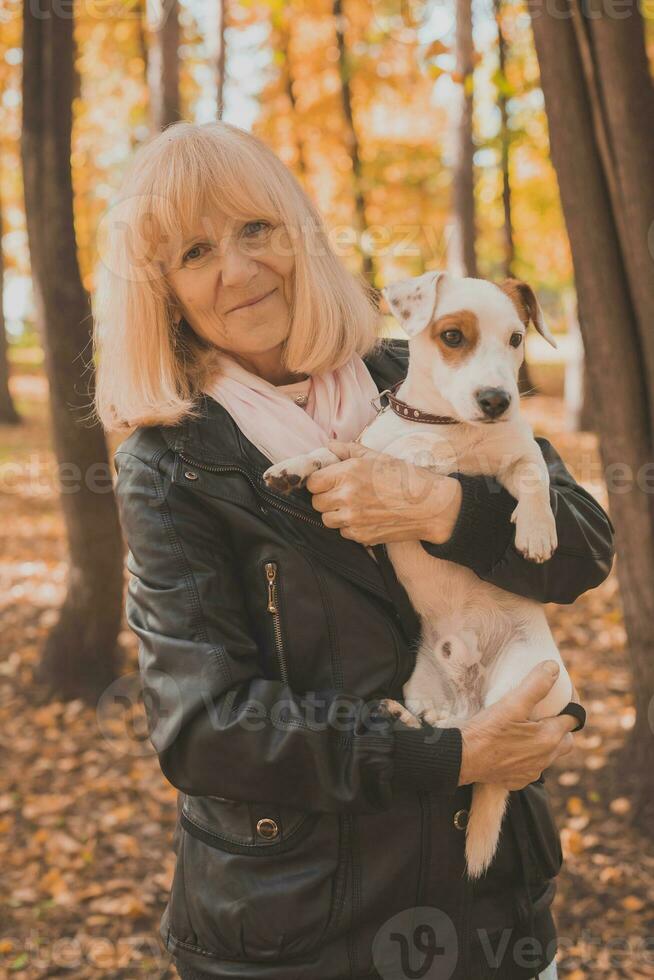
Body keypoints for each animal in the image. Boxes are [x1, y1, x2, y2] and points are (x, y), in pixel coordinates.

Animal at [264, 272, 576, 876]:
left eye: (517, 339)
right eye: (453, 335)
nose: (498, 400)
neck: (446, 427)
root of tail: (470, 688)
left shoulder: (518, 450)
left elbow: (532, 473)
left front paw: (535, 530)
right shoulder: (367, 453)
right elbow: (334, 452)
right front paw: (293, 466)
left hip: (529, 679)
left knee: (488, 732)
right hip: (423, 685)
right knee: (451, 734)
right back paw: (402, 719)